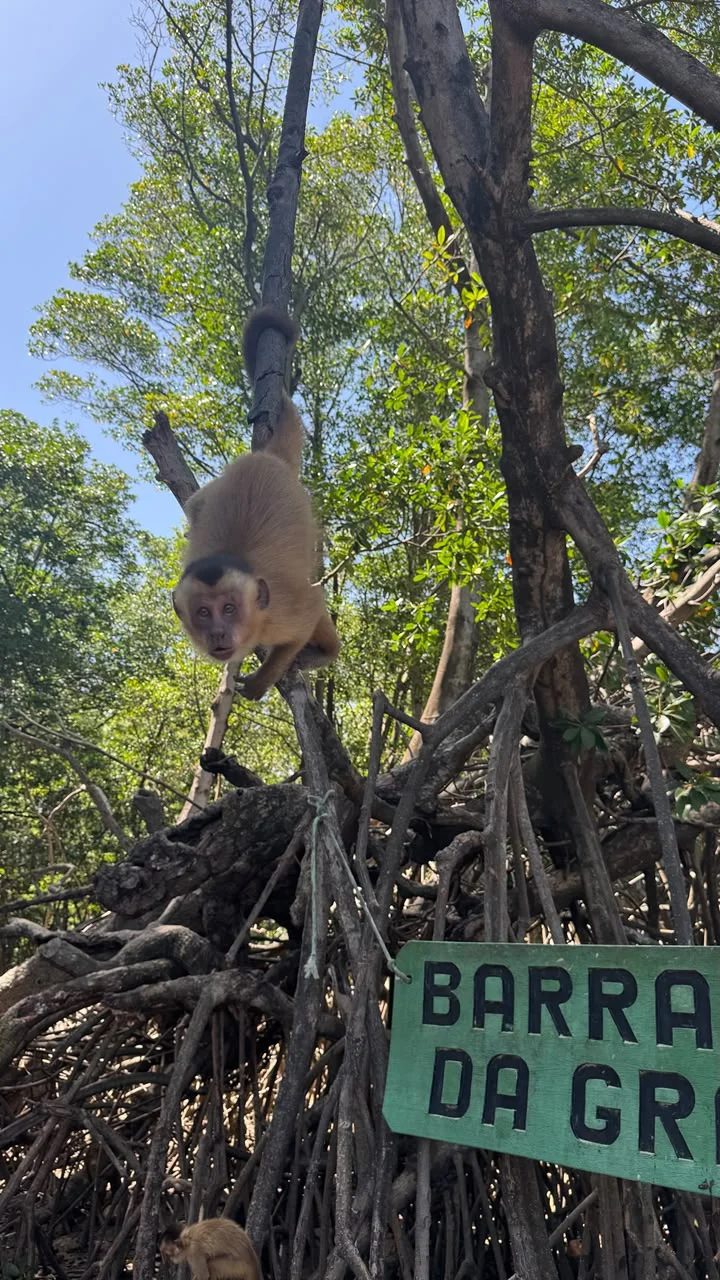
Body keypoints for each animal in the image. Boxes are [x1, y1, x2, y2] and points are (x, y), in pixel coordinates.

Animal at [172, 306, 339, 701]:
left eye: (229, 608)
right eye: (203, 613)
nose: (217, 633)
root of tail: (268, 460)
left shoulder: (281, 611)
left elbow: (312, 606)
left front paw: (262, 681)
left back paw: (325, 652)